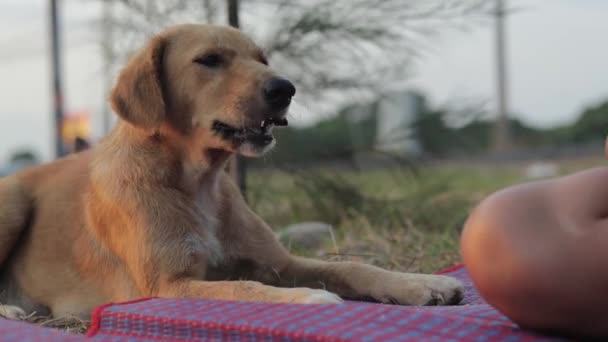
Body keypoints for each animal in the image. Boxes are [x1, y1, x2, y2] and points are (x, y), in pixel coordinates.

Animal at [0, 24, 460, 320]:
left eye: (262, 59)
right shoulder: (168, 285)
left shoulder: (279, 262)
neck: (197, 181)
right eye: (209, 60)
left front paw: (421, 283)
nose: (285, 89)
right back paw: (11, 309)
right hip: (13, 201)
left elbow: (351, 266)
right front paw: (310, 298)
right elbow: (243, 287)